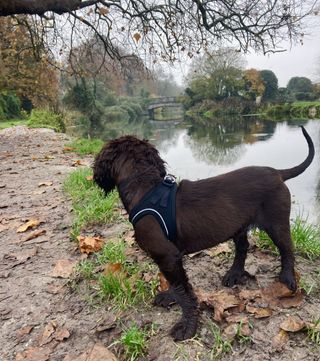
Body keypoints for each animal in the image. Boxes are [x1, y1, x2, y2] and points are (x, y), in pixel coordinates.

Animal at [94, 126, 314, 340]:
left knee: (287, 249)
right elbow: (175, 283)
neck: (145, 187)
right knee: (243, 247)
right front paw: (170, 297)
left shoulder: (167, 256)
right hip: (238, 225)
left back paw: (287, 279)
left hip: (276, 223)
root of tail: (277, 172)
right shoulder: (170, 258)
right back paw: (234, 274)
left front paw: (187, 327)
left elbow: (184, 292)